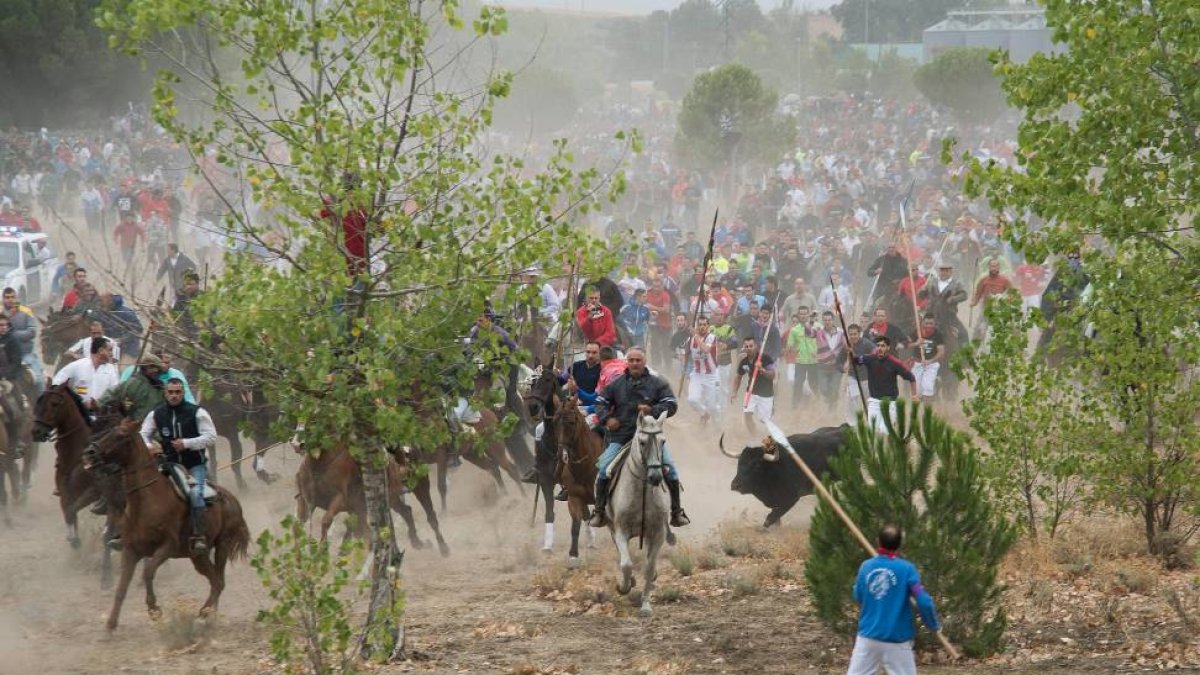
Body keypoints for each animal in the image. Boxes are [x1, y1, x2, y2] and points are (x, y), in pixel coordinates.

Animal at [90, 417, 252, 629]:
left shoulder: (167, 547)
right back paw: (209, 614)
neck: (147, 500)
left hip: (222, 545)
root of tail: (232, 500)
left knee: (219, 582)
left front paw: (154, 610)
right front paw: (110, 625)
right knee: (215, 580)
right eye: (108, 431)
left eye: (120, 435)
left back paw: (204, 614)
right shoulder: (131, 550)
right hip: (197, 556)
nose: (90, 452)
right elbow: (122, 587)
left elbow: (148, 571)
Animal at [604, 410, 672, 614]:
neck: (642, 490)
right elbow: (626, 564)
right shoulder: (620, 530)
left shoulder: (658, 532)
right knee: (622, 556)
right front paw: (623, 586)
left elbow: (649, 567)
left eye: (663, 441)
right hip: (612, 528)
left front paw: (646, 605)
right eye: (642, 442)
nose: (656, 477)